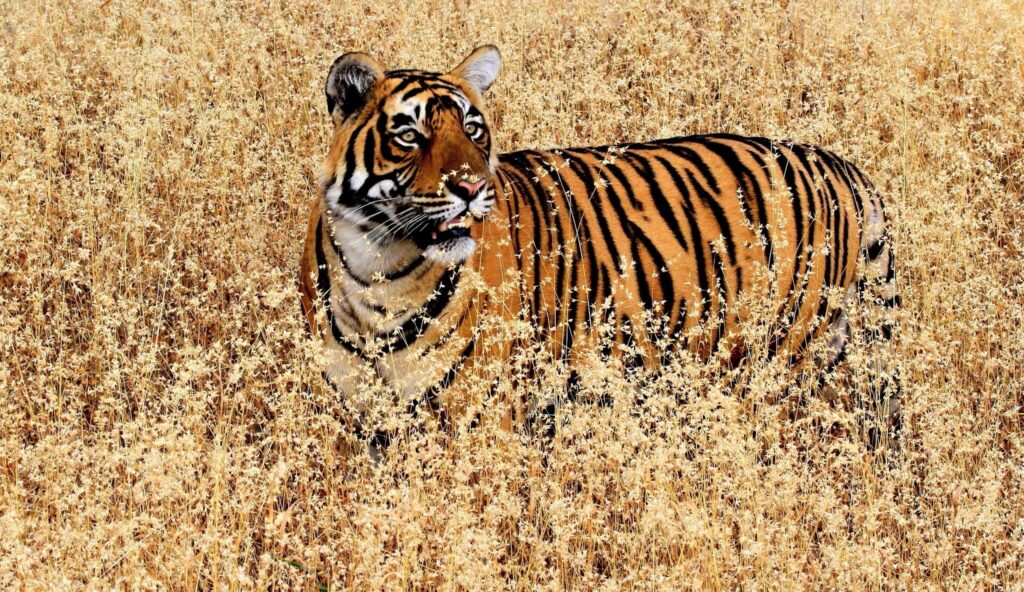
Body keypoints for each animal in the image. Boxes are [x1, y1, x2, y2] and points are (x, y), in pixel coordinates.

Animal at [296, 43, 897, 444]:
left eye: (474, 129)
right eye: (408, 135)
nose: (472, 188)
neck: (379, 269)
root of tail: (839, 163)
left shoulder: (479, 417)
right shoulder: (361, 416)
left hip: (784, 354)